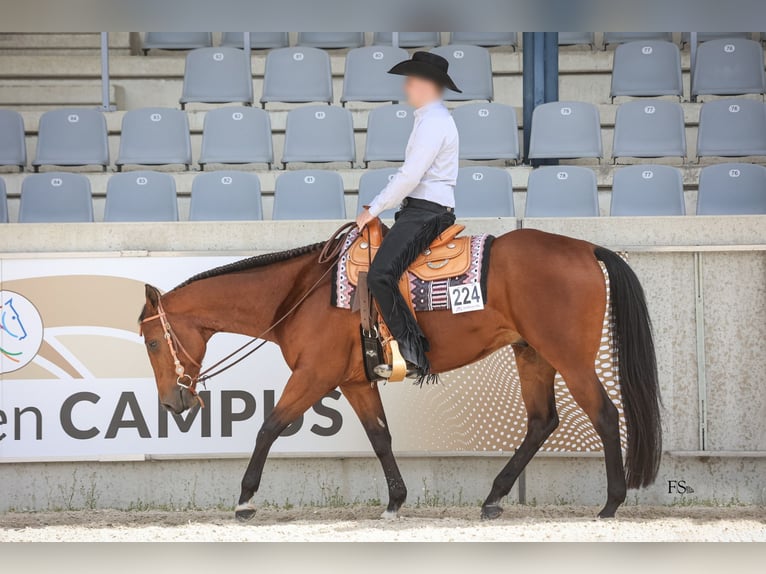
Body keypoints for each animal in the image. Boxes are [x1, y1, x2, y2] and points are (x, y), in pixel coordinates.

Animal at [140, 228, 664, 520]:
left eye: (150, 342)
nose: (170, 403)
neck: (299, 294)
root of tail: (587, 248)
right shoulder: (353, 381)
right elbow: (380, 437)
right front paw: (395, 500)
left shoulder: (314, 375)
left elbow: (269, 427)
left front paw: (245, 500)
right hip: (531, 353)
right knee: (541, 422)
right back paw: (493, 497)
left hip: (568, 356)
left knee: (604, 413)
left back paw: (611, 502)